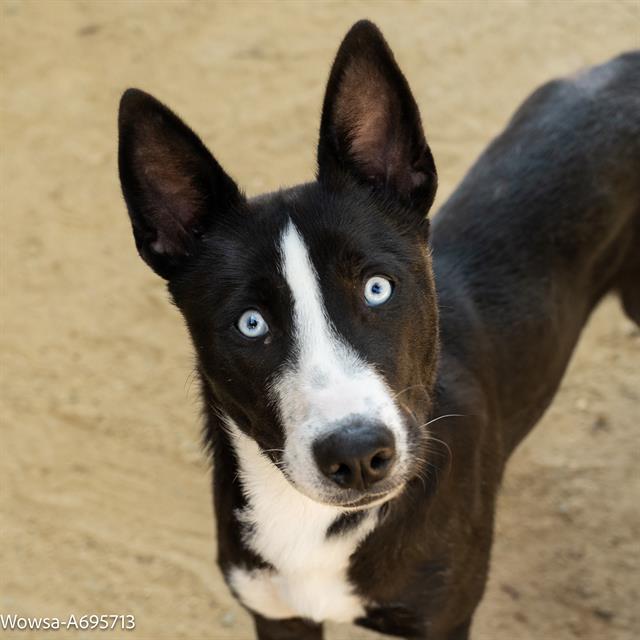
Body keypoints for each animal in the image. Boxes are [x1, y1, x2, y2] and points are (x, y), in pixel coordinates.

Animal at [116, 20, 640, 640]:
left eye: (377, 288)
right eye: (251, 324)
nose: (358, 455)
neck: (315, 526)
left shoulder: (442, 618)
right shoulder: (276, 614)